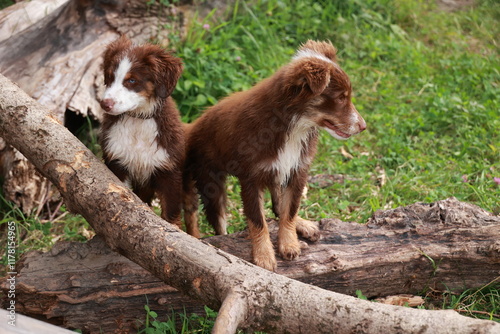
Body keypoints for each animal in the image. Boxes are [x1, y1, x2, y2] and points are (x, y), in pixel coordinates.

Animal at [186, 40, 366, 270]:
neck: (294, 126)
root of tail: (192, 127)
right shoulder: (251, 178)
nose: (363, 126)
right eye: (341, 98)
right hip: (210, 181)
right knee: (219, 221)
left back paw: (303, 225)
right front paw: (264, 256)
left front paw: (289, 243)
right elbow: (257, 220)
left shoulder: (297, 168)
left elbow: (290, 210)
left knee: (279, 206)